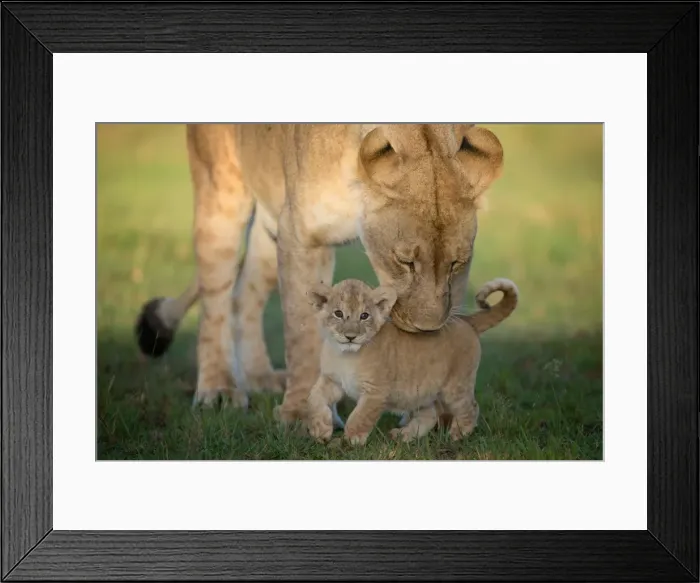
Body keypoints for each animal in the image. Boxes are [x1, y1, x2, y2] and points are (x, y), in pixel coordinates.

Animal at [134, 124, 504, 425]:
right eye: (405, 262)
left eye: (456, 264)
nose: (426, 328)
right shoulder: (303, 236)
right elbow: (302, 333)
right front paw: (301, 413)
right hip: (222, 191)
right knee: (216, 299)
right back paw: (219, 389)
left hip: (271, 217)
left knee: (244, 294)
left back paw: (259, 376)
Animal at [304, 278, 518, 445]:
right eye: (338, 313)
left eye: (364, 316)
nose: (350, 336)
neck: (346, 355)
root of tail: (465, 320)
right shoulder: (332, 380)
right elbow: (314, 398)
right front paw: (320, 431)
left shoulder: (376, 392)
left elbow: (359, 418)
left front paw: (349, 441)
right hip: (422, 391)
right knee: (431, 414)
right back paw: (404, 435)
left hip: (455, 386)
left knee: (471, 408)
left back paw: (456, 435)